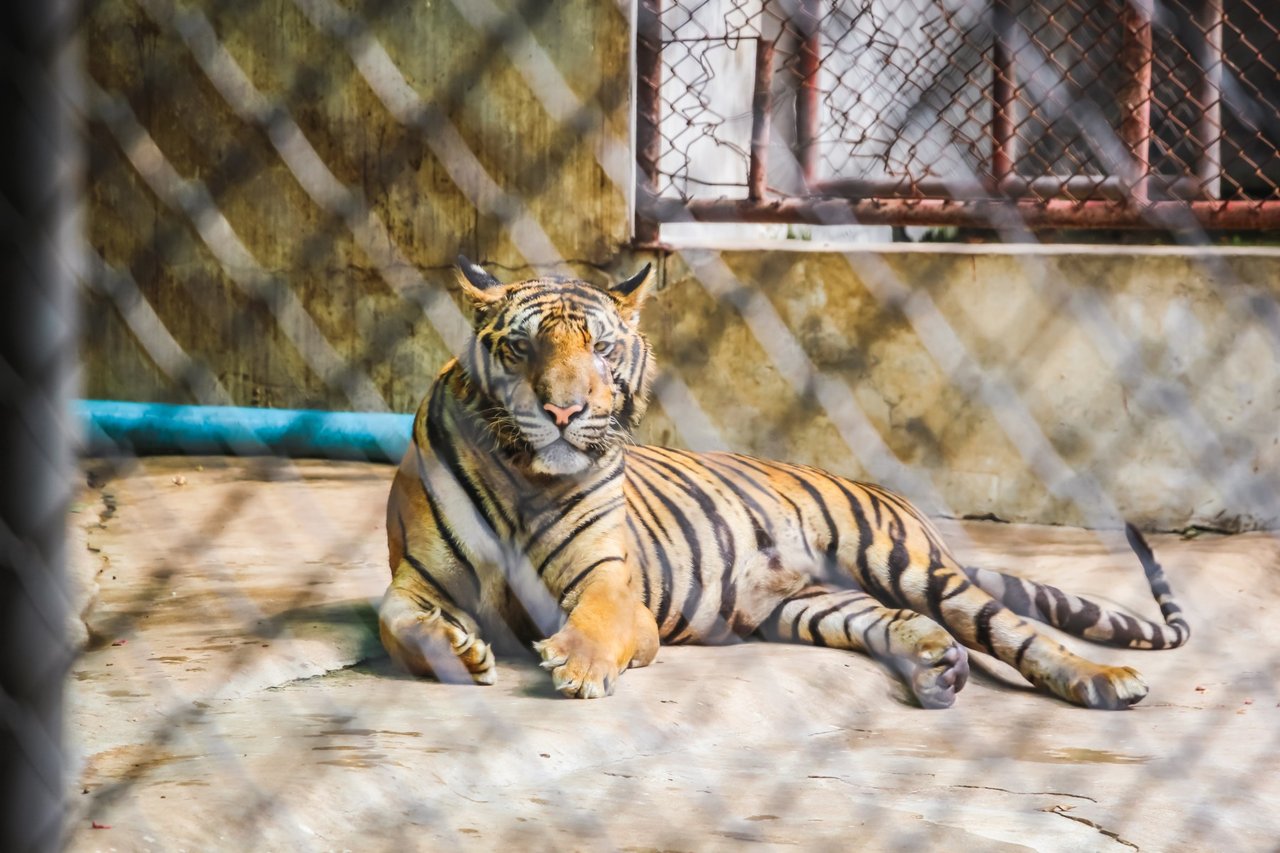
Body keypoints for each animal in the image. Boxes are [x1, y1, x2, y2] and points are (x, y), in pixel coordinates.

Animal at [381, 256, 1187, 706]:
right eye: (521, 349)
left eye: (603, 350)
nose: (562, 410)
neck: (526, 475)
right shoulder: (416, 580)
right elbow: (397, 622)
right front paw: (456, 648)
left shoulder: (612, 585)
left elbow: (600, 620)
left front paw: (576, 665)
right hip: (810, 605)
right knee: (895, 621)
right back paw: (936, 669)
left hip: (907, 563)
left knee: (1015, 632)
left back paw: (1104, 681)